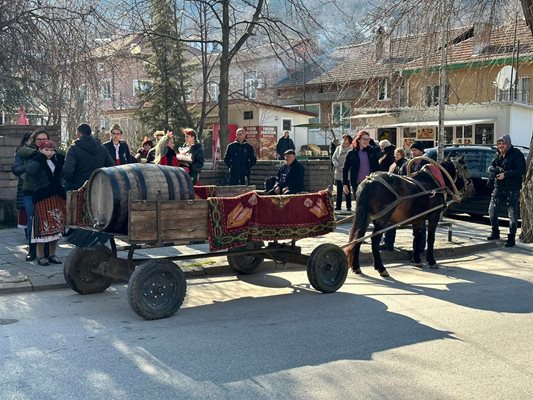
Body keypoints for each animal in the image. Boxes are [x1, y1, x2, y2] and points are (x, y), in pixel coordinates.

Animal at [344, 158, 474, 276]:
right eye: (465, 168)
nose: (472, 189)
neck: (435, 183)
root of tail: (369, 181)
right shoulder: (434, 216)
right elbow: (430, 238)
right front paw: (432, 261)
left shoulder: (417, 219)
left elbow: (417, 237)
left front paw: (416, 260)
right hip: (382, 220)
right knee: (374, 240)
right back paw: (381, 268)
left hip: (366, 218)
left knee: (358, 237)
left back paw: (356, 267)